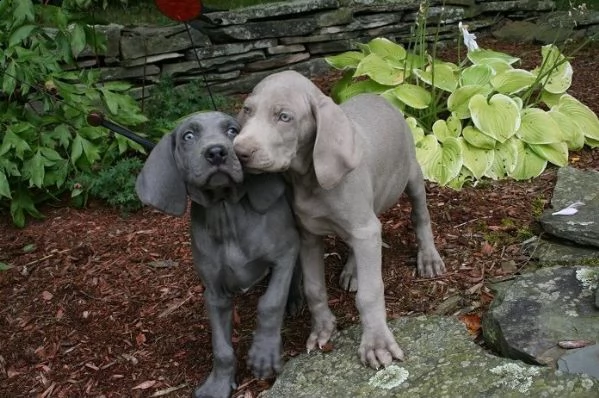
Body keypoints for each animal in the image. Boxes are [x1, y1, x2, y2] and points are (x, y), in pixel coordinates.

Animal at [138, 111, 302, 398]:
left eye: (232, 131)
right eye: (188, 136)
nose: (216, 152)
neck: (225, 211)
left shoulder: (285, 250)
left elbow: (271, 302)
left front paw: (264, 354)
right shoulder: (214, 292)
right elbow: (221, 347)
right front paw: (218, 384)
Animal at [234, 70, 446, 370]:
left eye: (284, 117)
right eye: (247, 110)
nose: (239, 152)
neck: (308, 181)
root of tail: (380, 97)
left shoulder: (365, 229)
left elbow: (370, 293)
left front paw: (377, 343)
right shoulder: (309, 235)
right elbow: (313, 288)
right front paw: (322, 328)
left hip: (412, 174)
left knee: (420, 214)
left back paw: (428, 257)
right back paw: (352, 270)